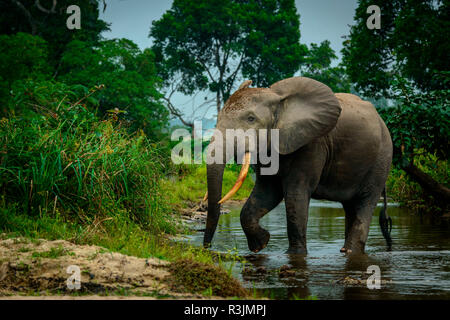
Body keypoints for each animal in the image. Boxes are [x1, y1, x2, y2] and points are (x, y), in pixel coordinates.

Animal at [202, 76, 392, 254]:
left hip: (381, 159)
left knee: (365, 203)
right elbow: (266, 193)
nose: (206, 249)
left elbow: (295, 194)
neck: (278, 99)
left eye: (251, 119)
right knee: (350, 206)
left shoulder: (311, 144)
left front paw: (294, 255)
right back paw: (345, 251)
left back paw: (351, 251)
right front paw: (260, 244)